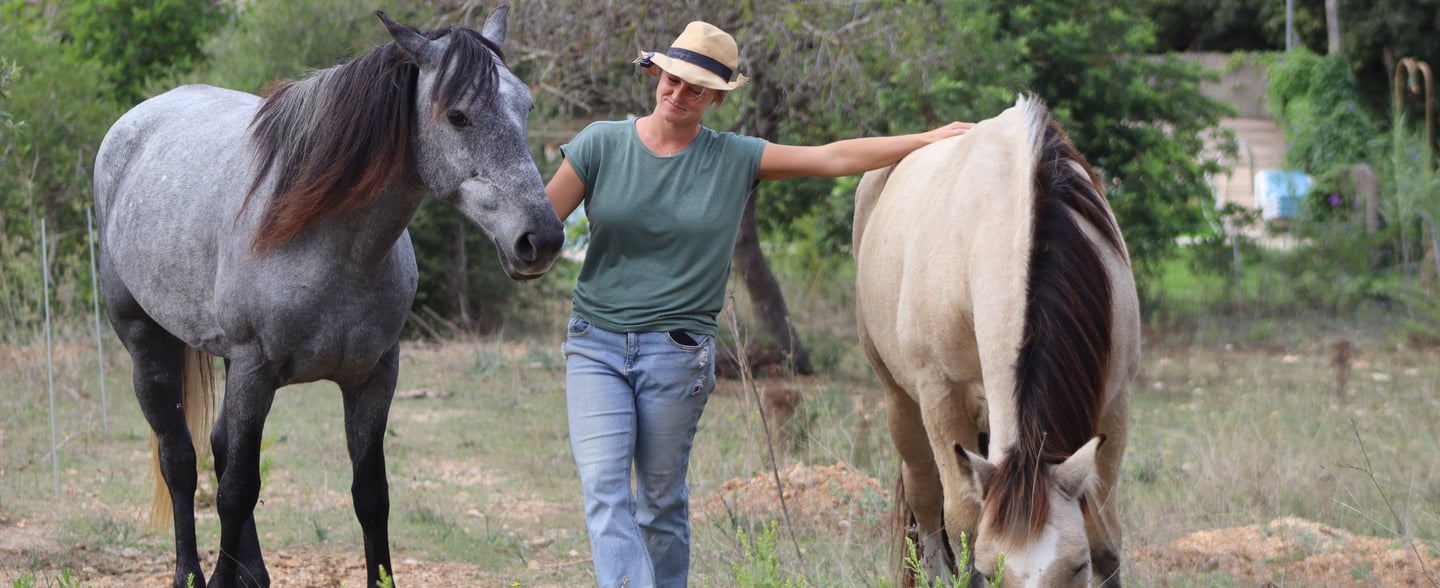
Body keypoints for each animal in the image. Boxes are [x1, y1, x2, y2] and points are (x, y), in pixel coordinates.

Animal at [91, 8, 564, 587]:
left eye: (526, 108)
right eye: (457, 116)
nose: (542, 239)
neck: (328, 243)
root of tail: (132, 125)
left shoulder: (374, 377)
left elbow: (371, 496)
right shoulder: (254, 370)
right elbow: (235, 493)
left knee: (221, 448)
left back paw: (255, 573)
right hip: (148, 345)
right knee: (181, 462)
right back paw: (190, 575)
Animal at [853, 95, 1139, 587]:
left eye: (1076, 566)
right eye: (991, 572)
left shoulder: (1114, 403)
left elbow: (1106, 535)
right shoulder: (941, 397)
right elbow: (963, 523)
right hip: (900, 403)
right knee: (926, 502)